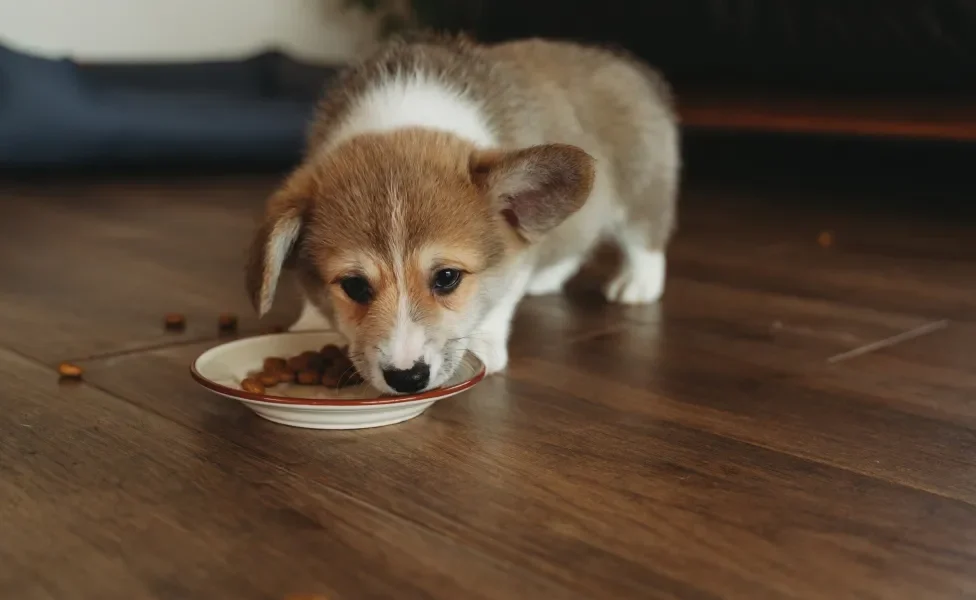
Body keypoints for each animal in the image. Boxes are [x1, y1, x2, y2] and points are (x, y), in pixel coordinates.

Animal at [244, 35, 680, 396]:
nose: (407, 378)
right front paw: (310, 324)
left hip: (641, 189)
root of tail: (624, 63)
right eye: (354, 286)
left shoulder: (514, 254)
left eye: (447, 278)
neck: (403, 114)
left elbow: (499, 300)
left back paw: (637, 284)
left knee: (645, 238)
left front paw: (484, 342)